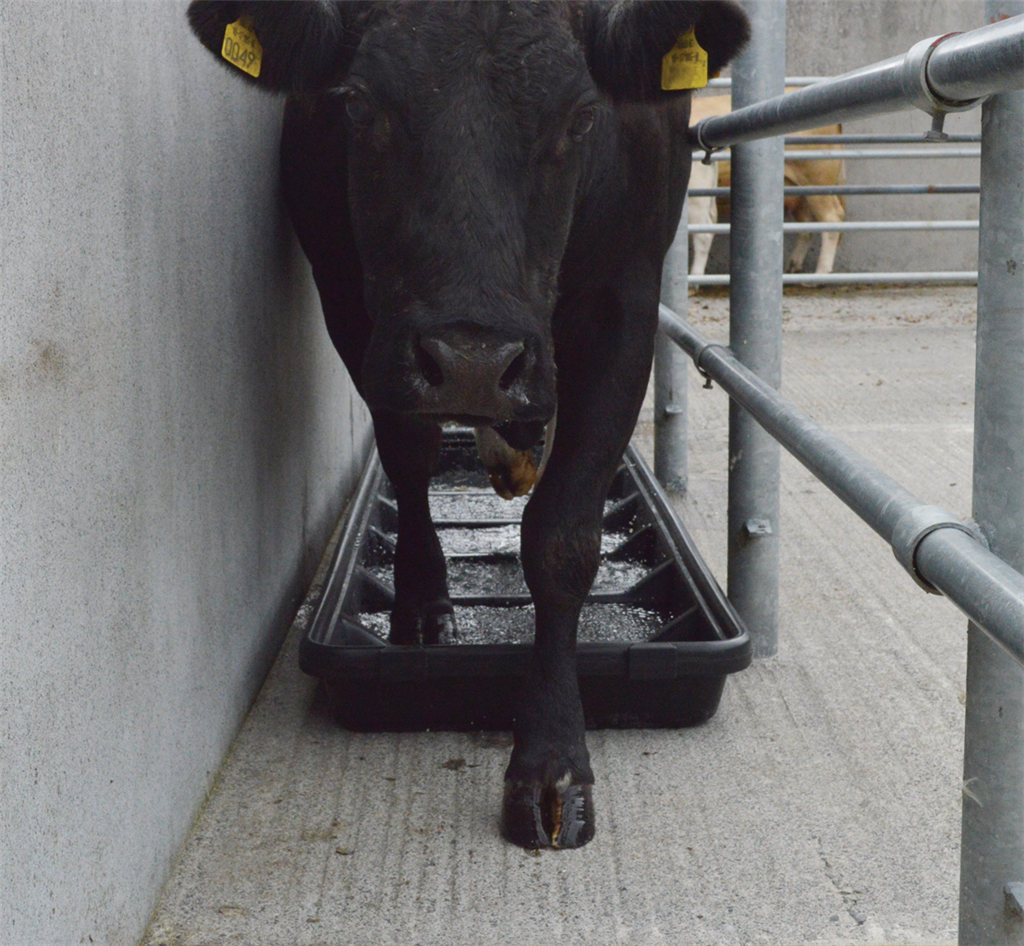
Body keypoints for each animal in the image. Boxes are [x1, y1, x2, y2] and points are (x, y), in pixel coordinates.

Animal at [187, 0, 749, 850]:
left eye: (582, 115)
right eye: (359, 103)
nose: (475, 363)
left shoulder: (625, 300)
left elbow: (563, 537)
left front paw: (552, 767)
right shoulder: (357, 306)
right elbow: (409, 451)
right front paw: (420, 604)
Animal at [687, 92, 846, 282]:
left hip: (818, 180)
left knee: (832, 217)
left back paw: (820, 274)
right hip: (799, 190)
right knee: (807, 224)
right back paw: (793, 266)